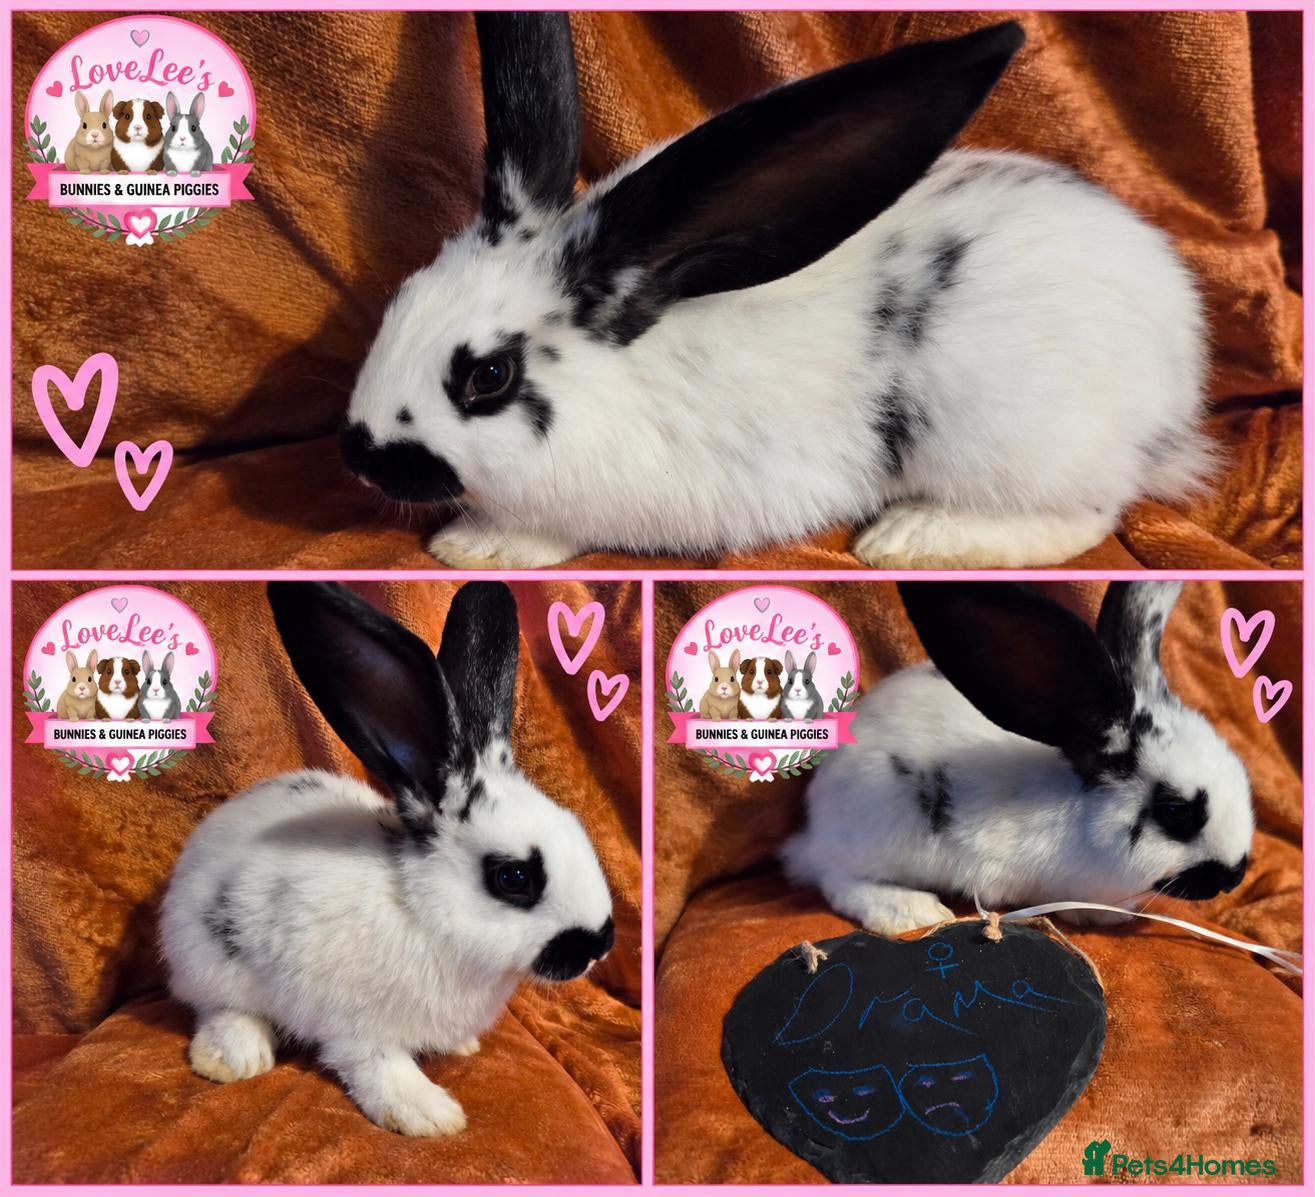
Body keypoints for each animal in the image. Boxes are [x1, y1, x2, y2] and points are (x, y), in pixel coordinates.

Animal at [159, 581, 614, 1137]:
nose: (601, 944)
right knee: (214, 1006)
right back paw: (235, 1058)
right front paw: (429, 1116)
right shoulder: (357, 1029)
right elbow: (379, 1068)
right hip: (210, 959)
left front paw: (461, 1048)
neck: (422, 911)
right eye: (513, 877)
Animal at [340, 15, 1211, 571]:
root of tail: (1176, 372)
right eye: (398, 301)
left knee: (1082, 517)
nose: (357, 456)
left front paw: (473, 545)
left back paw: (908, 539)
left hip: (1006, 443)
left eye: (488, 377)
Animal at [781, 582, 1253, 937]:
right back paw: (911, 911)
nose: (1235, 876)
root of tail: (815, 826)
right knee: (837, 878)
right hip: (881, 831)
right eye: (1177, 812)